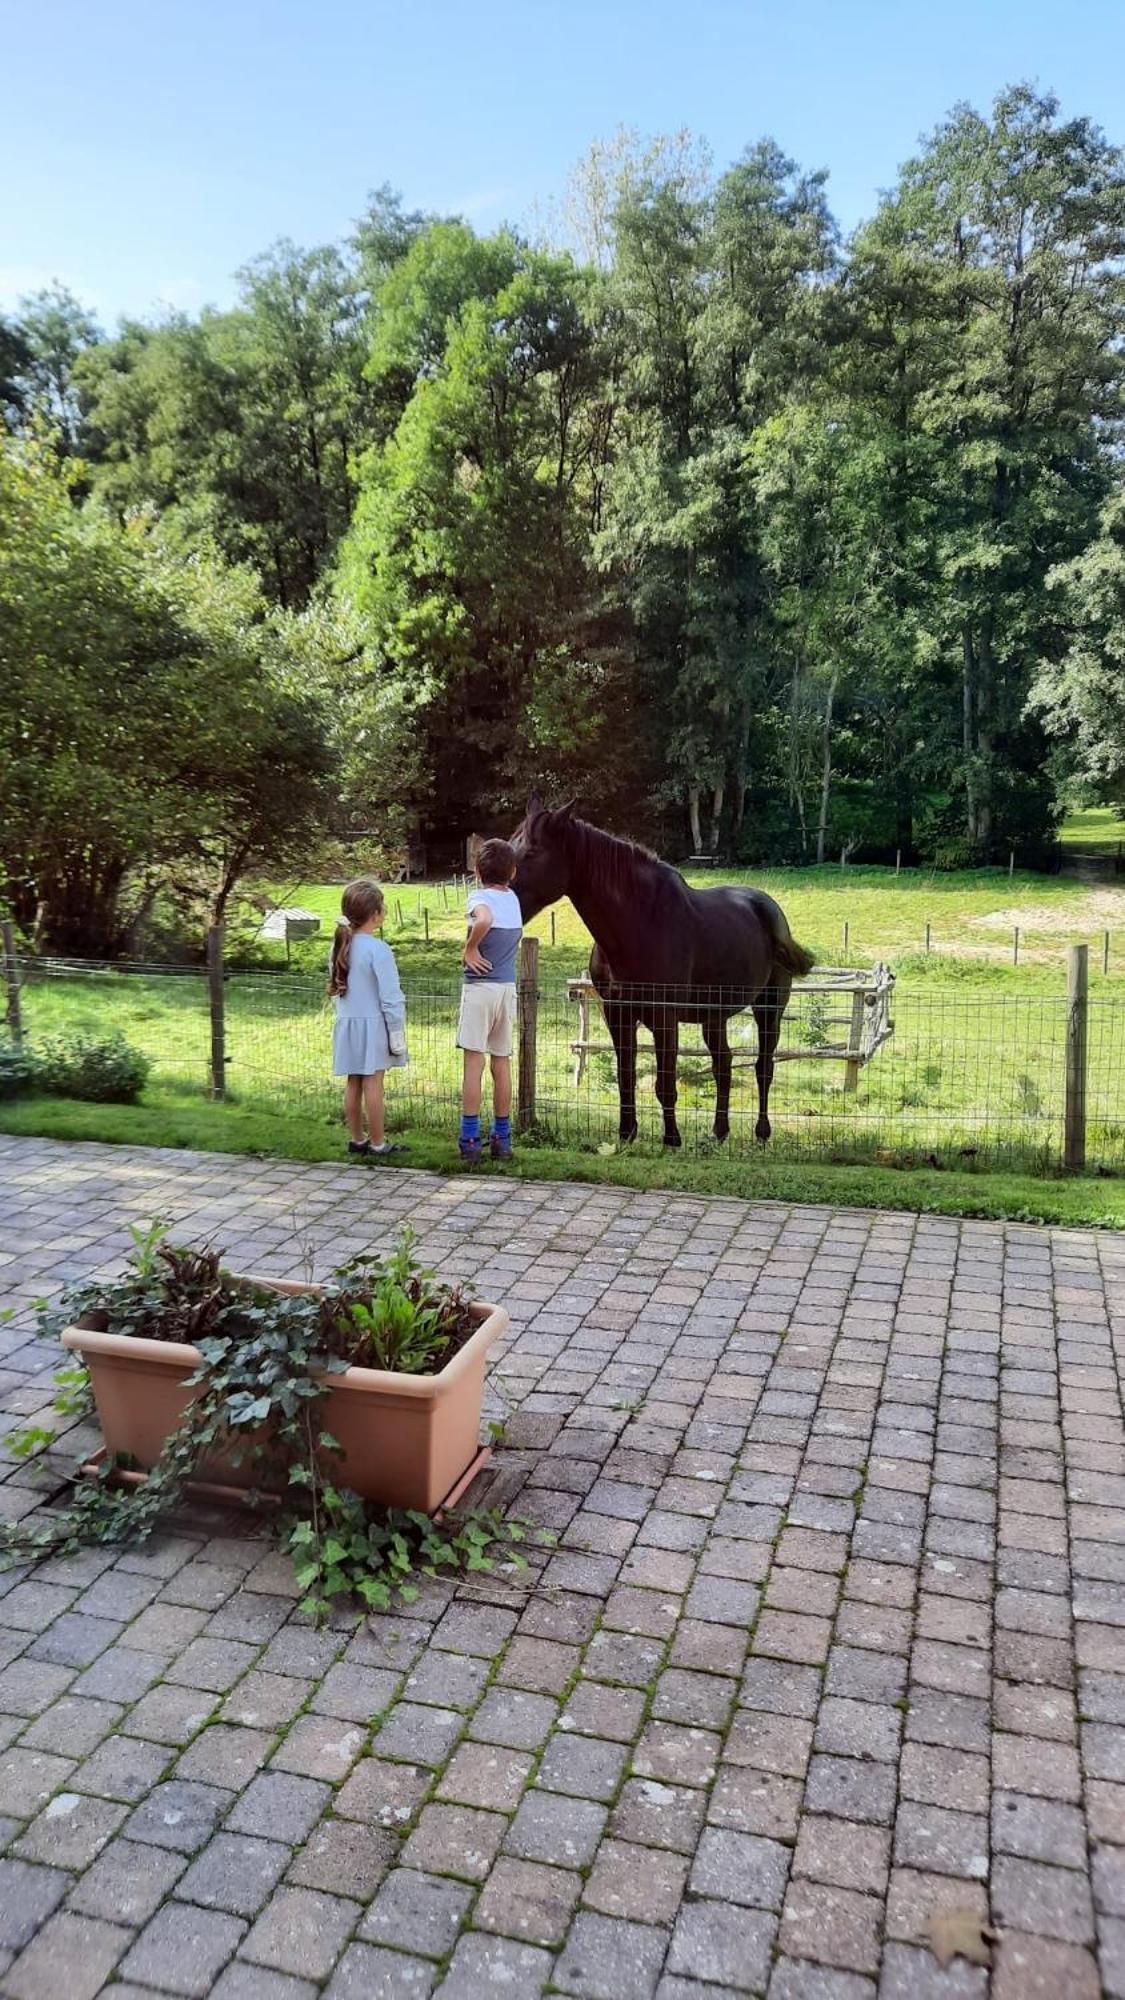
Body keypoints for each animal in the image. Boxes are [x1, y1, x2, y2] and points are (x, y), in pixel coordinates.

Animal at [510, 792, 812, 1152]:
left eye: (531, 851)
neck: (640, 921)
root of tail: (768, 908)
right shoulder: (618, 1013)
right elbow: (625, 1075)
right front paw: (626, 1134)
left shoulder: (664, 1016)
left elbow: (665, 1082)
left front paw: (671, 1140)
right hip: (714, 1015)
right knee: (723, 1065)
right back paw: (718, 1132)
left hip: (769, 1008)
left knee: (763, 1067)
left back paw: (761, 1132)